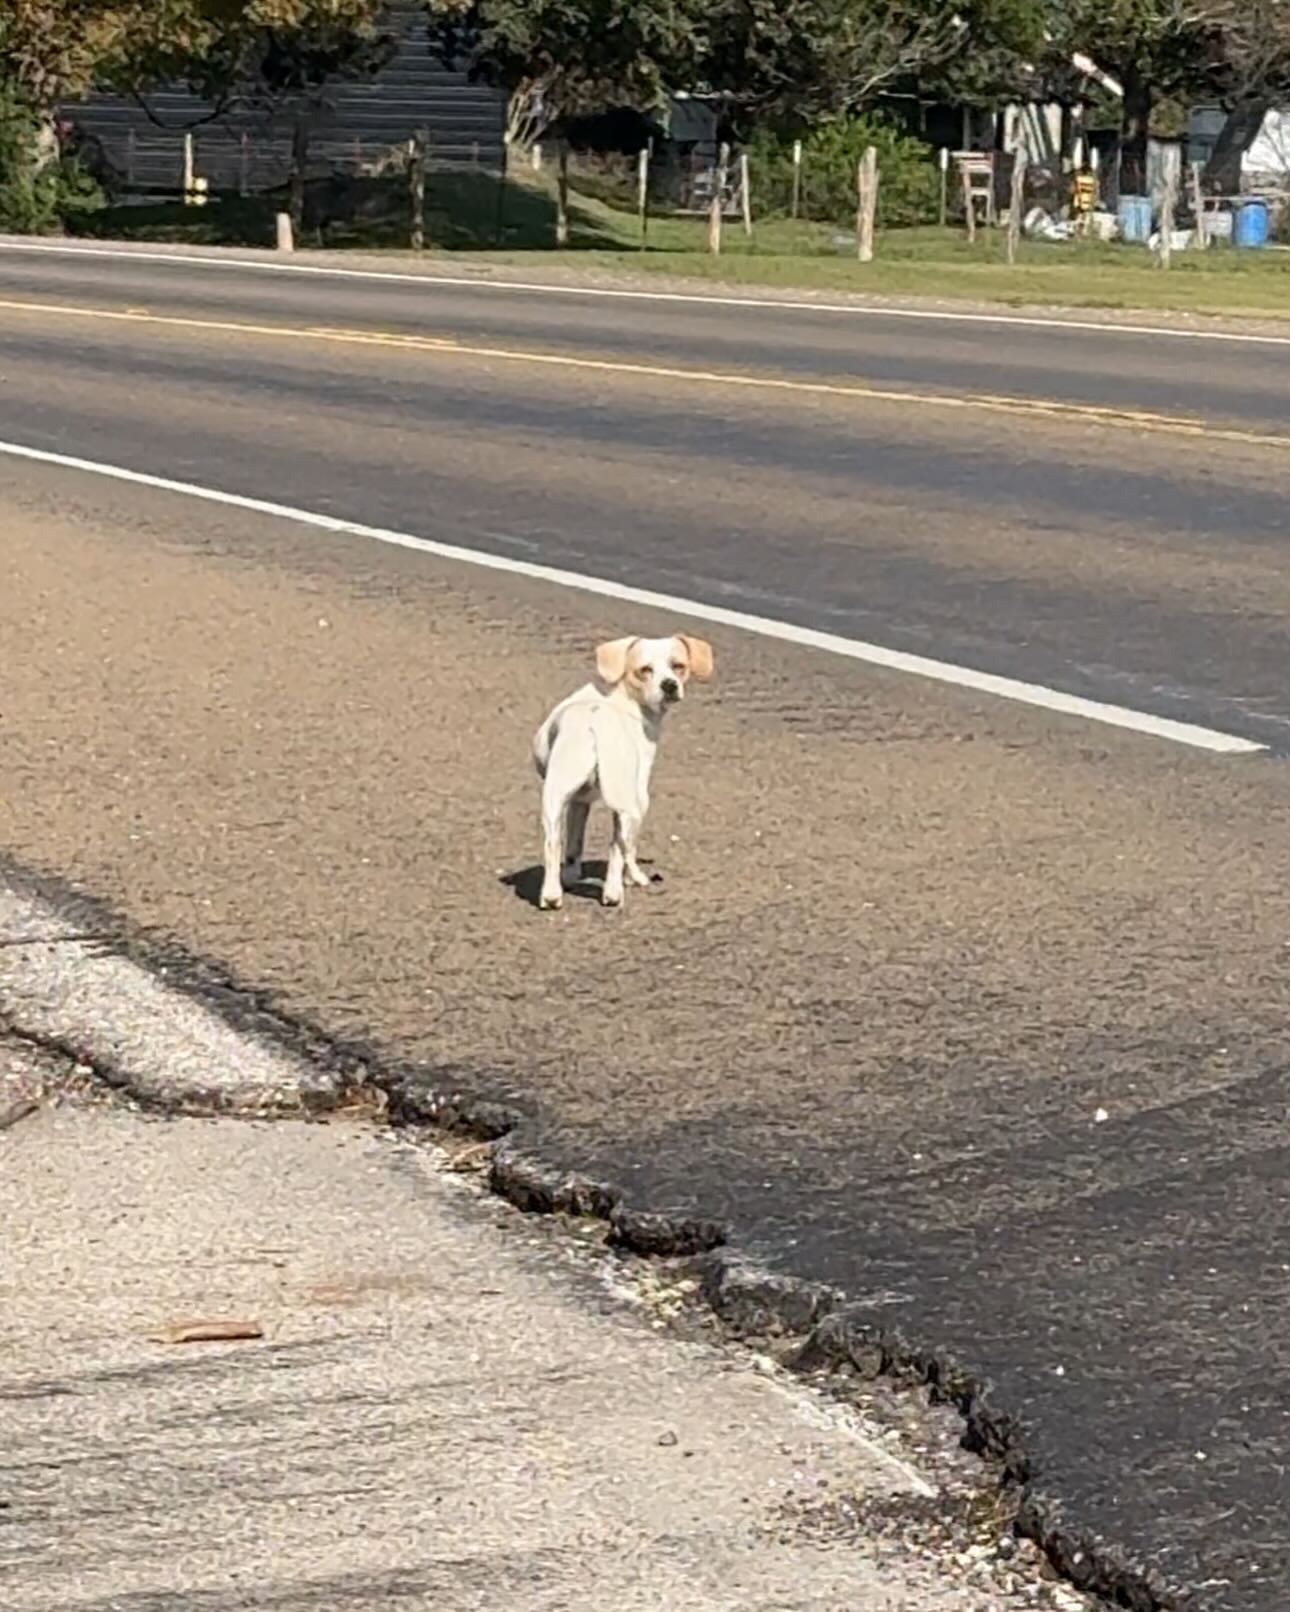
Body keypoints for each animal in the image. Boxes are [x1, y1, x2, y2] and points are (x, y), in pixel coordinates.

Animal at [532, 631, 715, 915]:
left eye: (678, 665)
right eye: (645, 670)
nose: (669, 685)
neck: (623, 698)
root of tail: (595, 722)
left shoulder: (579, 801)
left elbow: (574, 844)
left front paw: (571, 876)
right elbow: (628, 848)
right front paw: (634, 878)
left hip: (554, 795)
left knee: (553, 843)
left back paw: (552, 895)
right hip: (633, 800)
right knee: (618, 847)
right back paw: (615, 891)